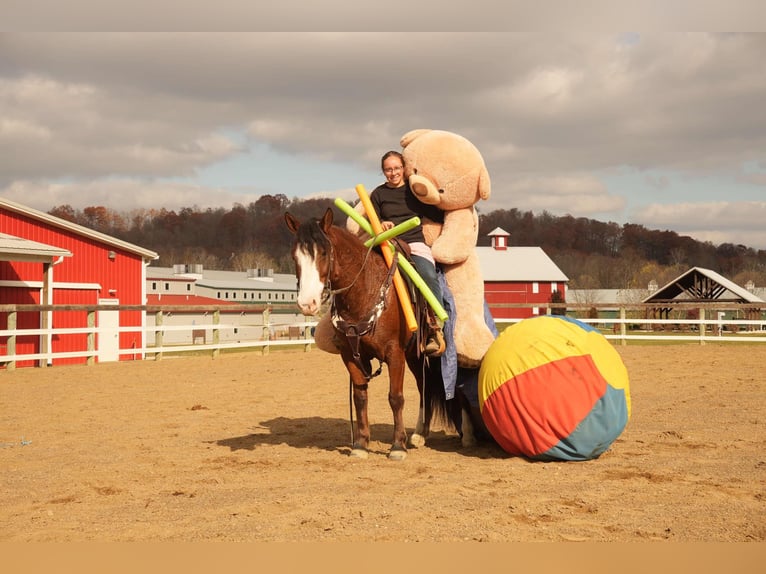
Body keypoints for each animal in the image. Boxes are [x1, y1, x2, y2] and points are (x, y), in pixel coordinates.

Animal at [284, 209, 472, 462]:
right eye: (295, 256)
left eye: (323, 252)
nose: (307, 304)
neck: (364, 292)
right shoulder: (351, 355)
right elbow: (360, 396)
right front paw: (361, 444)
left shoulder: (394, 354)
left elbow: (396, 397)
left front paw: (397, 446)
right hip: (414, 356)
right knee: (424, 388)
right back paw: (420, 434)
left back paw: (465, 435)